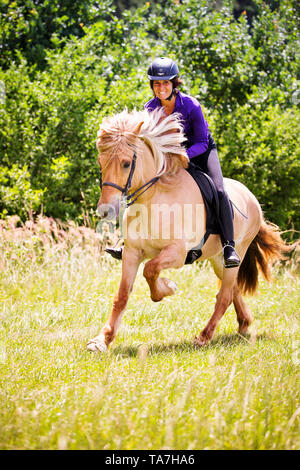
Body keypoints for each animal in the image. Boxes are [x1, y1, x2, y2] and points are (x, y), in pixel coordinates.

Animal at [86, 108, 288, 350]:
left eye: (126, 164)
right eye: (101, 162)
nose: (105, 210)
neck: (153, 201)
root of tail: (251, 196)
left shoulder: (177, 253)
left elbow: (151, 270)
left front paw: (168, 287)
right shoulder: (132, 253)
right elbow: (122, 295)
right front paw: (102, 340)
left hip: (236, 252)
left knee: (224, 295)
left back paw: (204, 336)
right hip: (217, 259)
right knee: (232, 290)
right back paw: (244, 324)